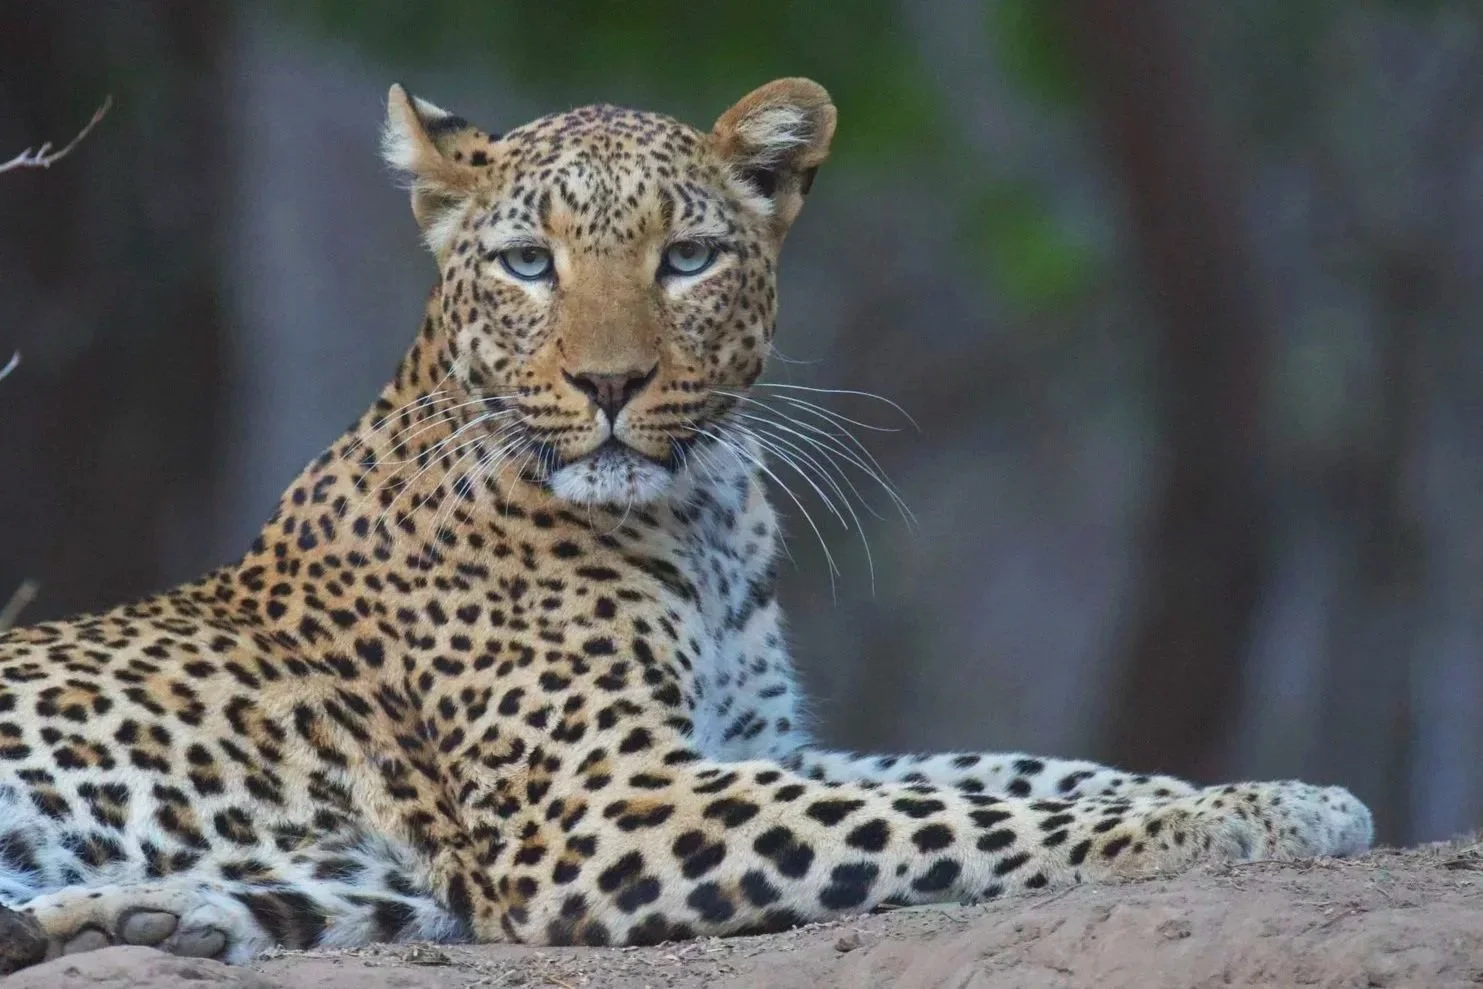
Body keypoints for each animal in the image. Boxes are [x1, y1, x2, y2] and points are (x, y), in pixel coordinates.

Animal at [0, 77, 1373, 972]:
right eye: (527, 264)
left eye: (689, 258)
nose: (609, 383)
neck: (704, 515)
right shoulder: (599, 795)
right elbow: (942, 817)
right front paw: (1227, 817)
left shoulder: (759, 740)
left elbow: (999, 769)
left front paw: (1269, 791)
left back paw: (158, 916)